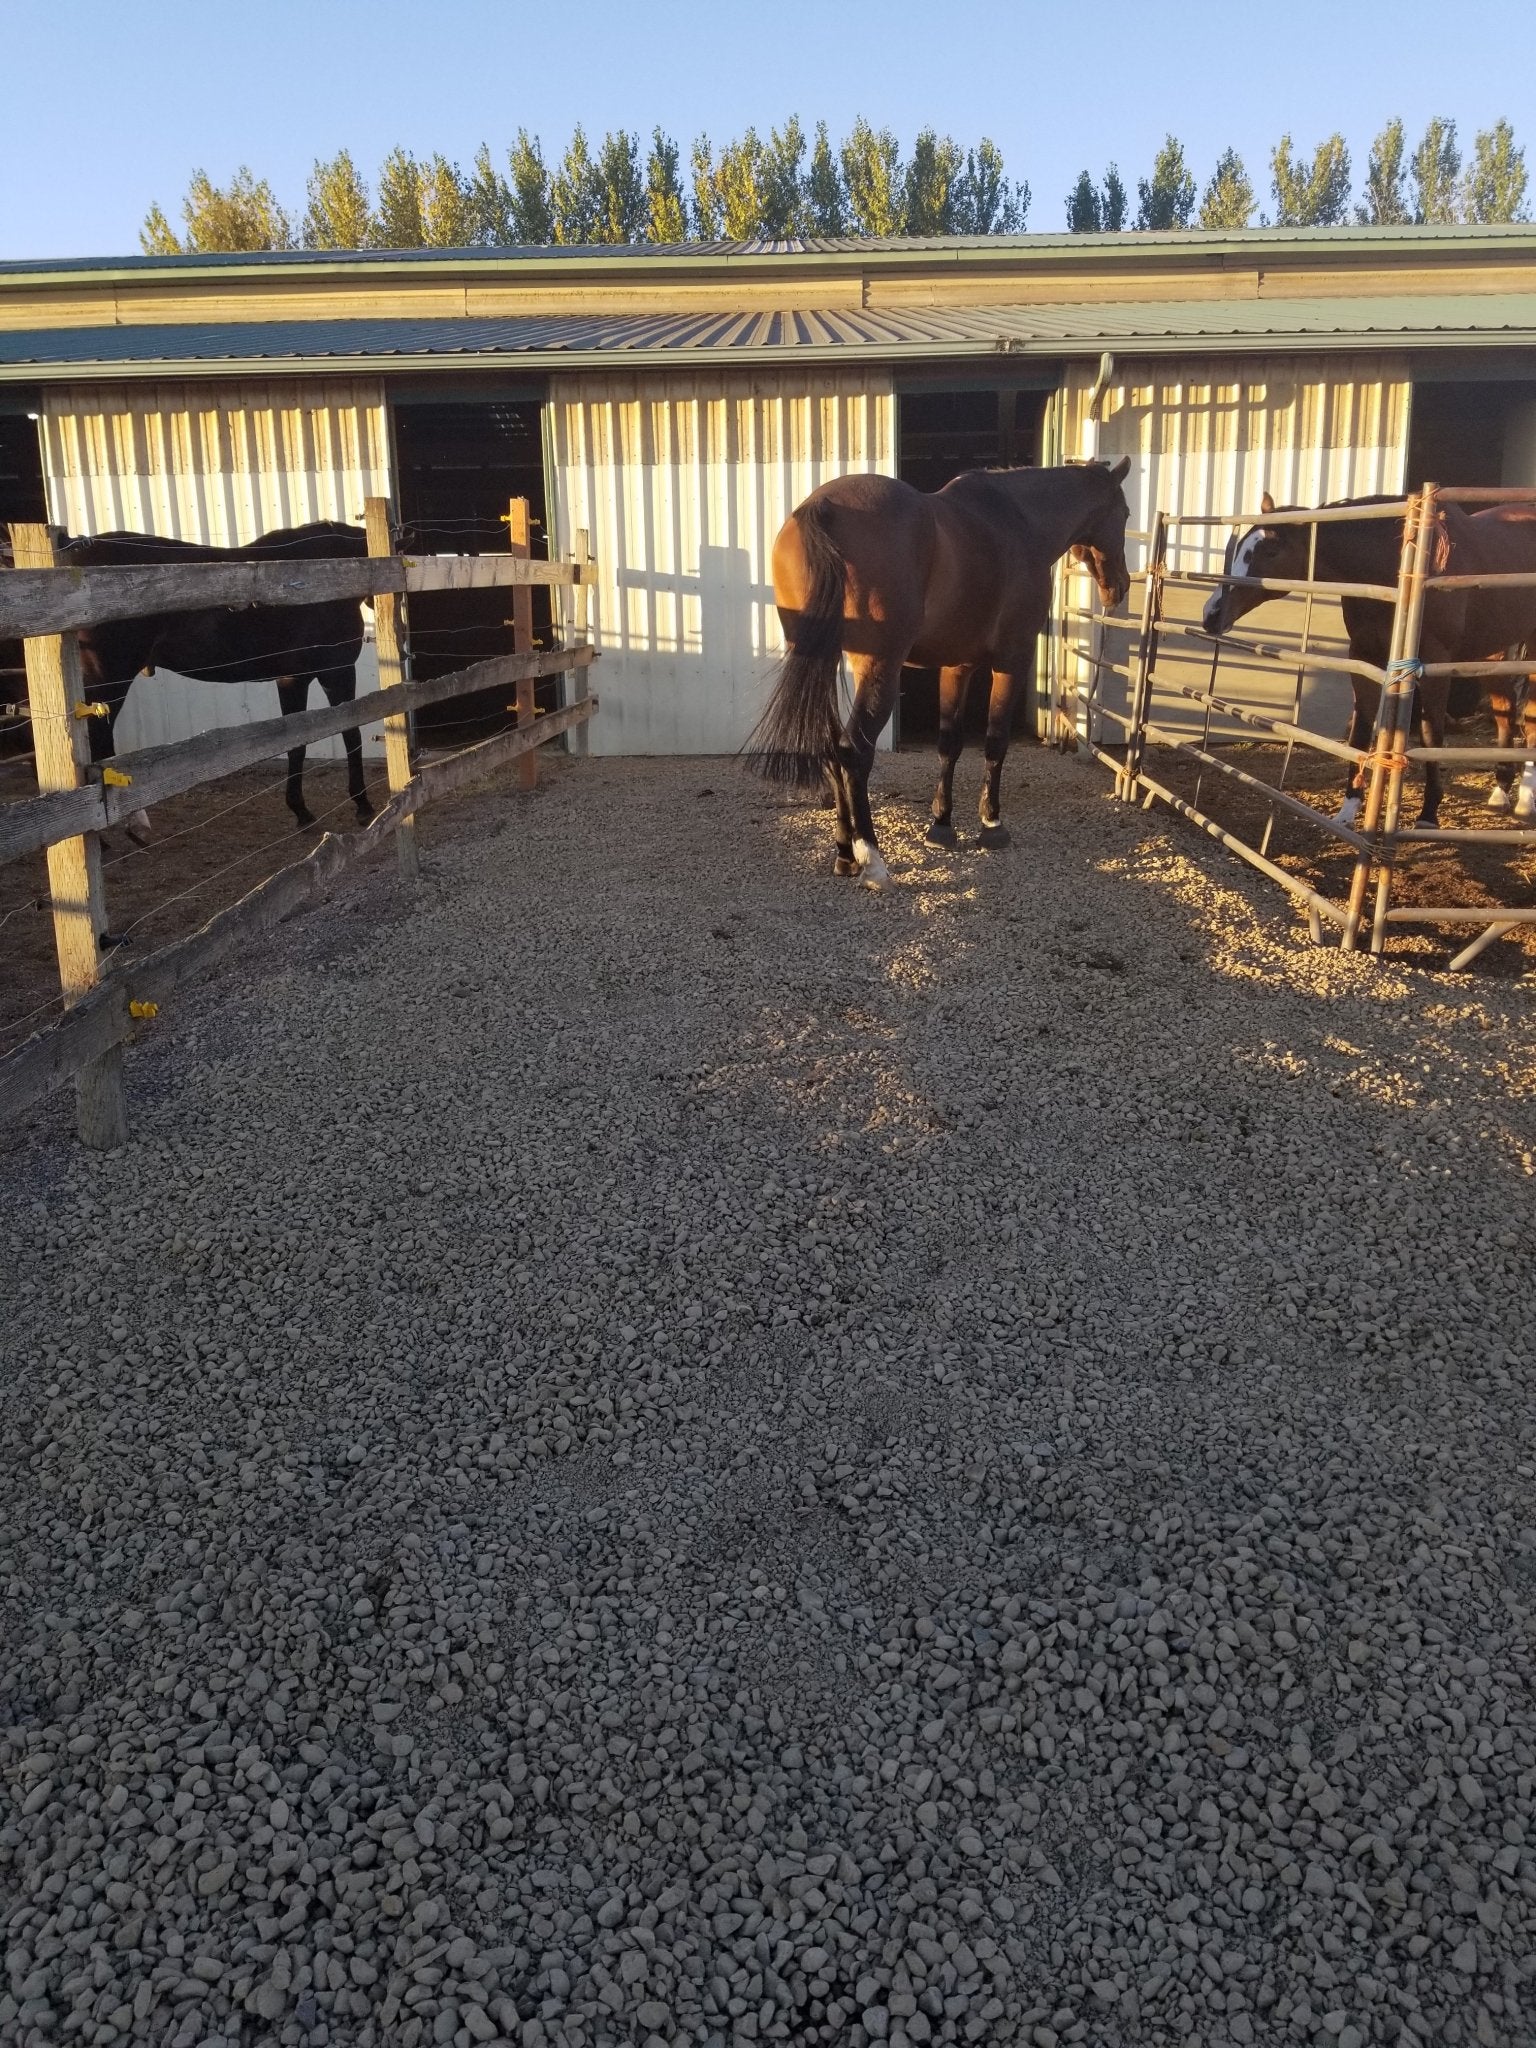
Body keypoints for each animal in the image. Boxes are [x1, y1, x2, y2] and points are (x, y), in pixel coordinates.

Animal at [16, 522, 375, 840]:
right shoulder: (337, 673)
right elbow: (351, 733)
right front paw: (364, 807)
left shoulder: (292, 680)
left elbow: (297, 743)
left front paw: (300, 811)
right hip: (106, 682)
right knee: (98, 744)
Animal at [747, 459, 1132, 884]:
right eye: (1126, 514)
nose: (1120, 587)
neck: (1018, 521)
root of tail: (825, 507)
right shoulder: (1012, 660)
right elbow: (995, 740)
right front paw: (992, 825)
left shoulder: (956, 665)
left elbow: (949, 743)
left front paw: (942, 826)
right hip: (880, 669)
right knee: (853, 751)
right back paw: (872, 859)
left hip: (822, 656)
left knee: (832, 748)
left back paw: (846, 854)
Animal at [1201, 494, 1536, 828]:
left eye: (1270, 551)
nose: (1211, 615)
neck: (1399, 568)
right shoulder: (1362, 656)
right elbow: (1360, 731)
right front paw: (1347, 812)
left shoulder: (1433, 665)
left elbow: (1430, 735)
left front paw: (1428, 815)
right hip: (1490, 651)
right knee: (1505, 709)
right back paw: (1500, 792)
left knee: (1528, 716)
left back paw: (1525, 800)